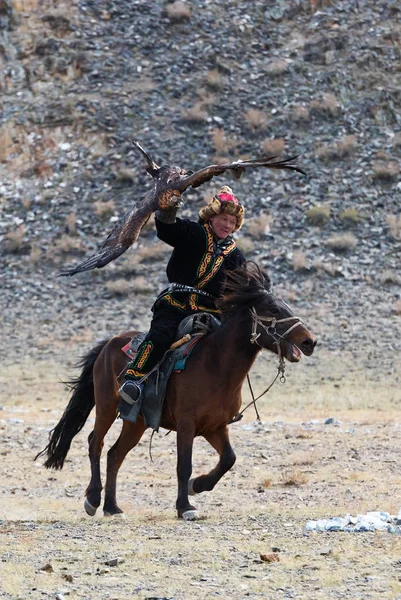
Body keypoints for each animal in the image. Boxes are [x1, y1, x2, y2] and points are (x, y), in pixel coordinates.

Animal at [36, 262, 316, 520]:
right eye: (273, 309)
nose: (309, 341)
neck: (215, 363)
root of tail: (108, 344)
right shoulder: (186, 425)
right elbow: (184, 465)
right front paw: (185, 507)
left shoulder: (215, 426)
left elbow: (229, 458)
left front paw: (197, 486)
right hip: (106, 406)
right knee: (96, 442)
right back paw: (93, 499)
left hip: (136, 422)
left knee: (115, 454)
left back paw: (112, 507)